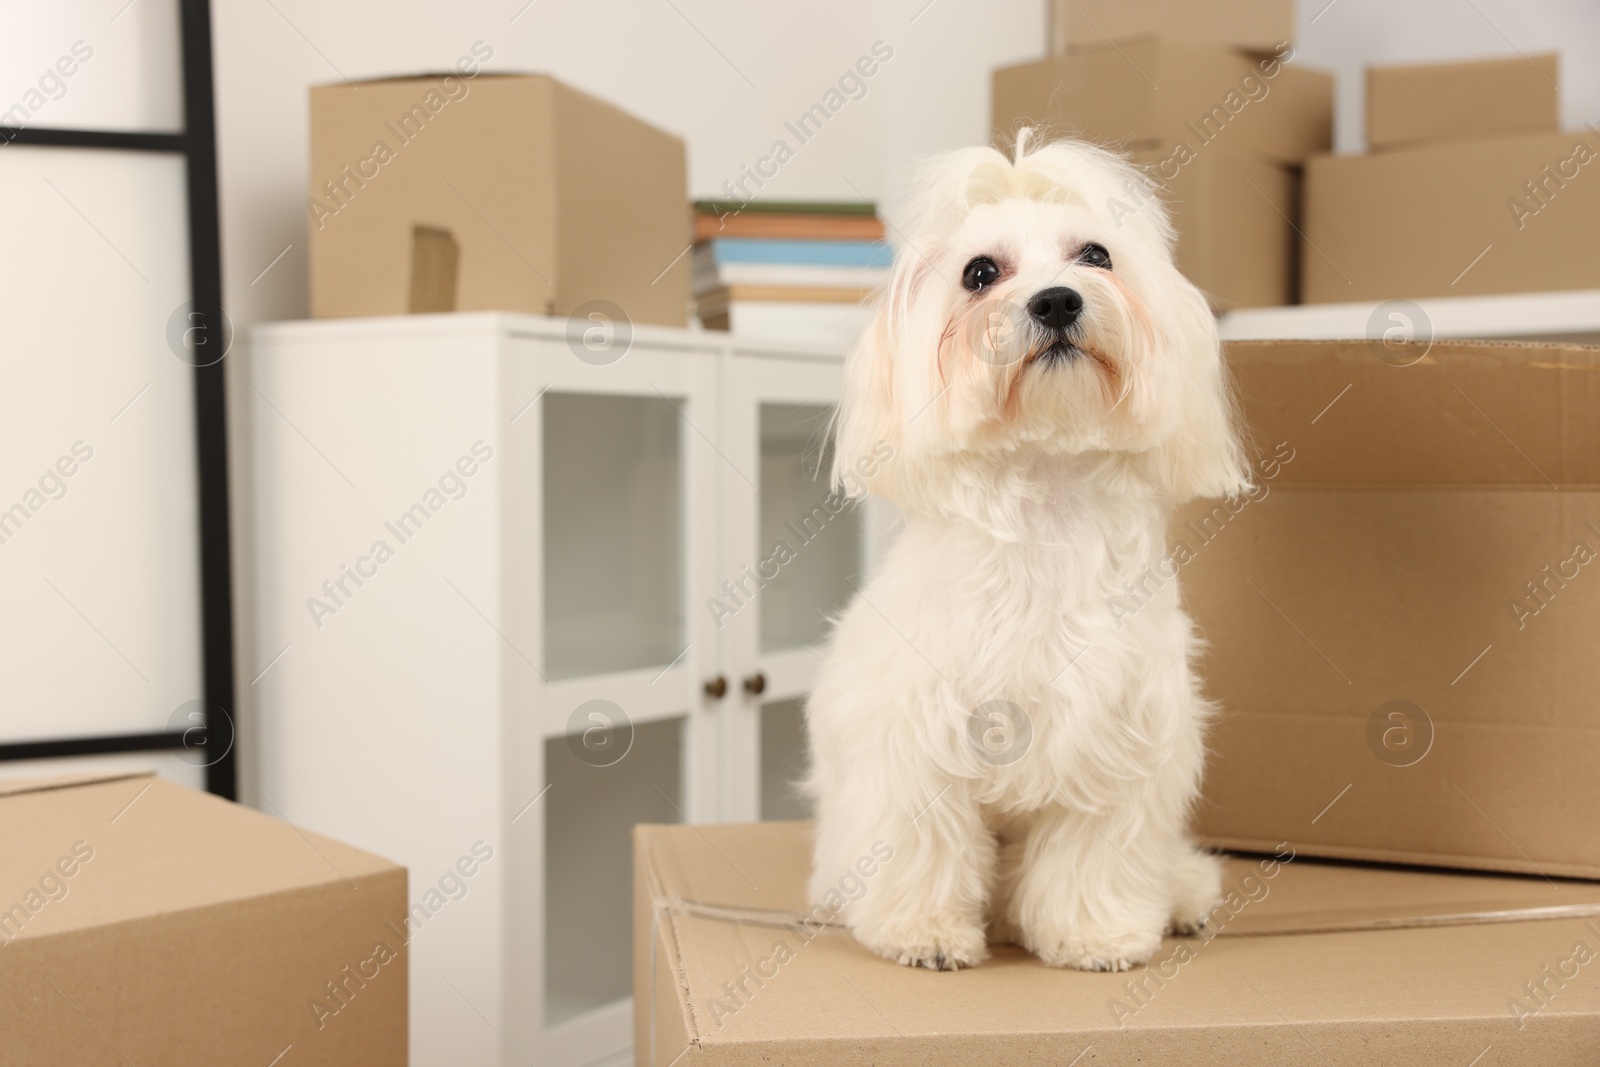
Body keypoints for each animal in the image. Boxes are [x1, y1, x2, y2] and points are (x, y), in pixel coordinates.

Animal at [800, 133, 1248, 979]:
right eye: (980, 272)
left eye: (1096, 254)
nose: (1058, 301)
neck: (1043, 502)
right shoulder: (915, 740)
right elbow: (924, 842)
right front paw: (924, 931)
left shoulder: (1116, 738)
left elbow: (1092, 855)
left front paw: (1097, 934)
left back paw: (1180, 894)